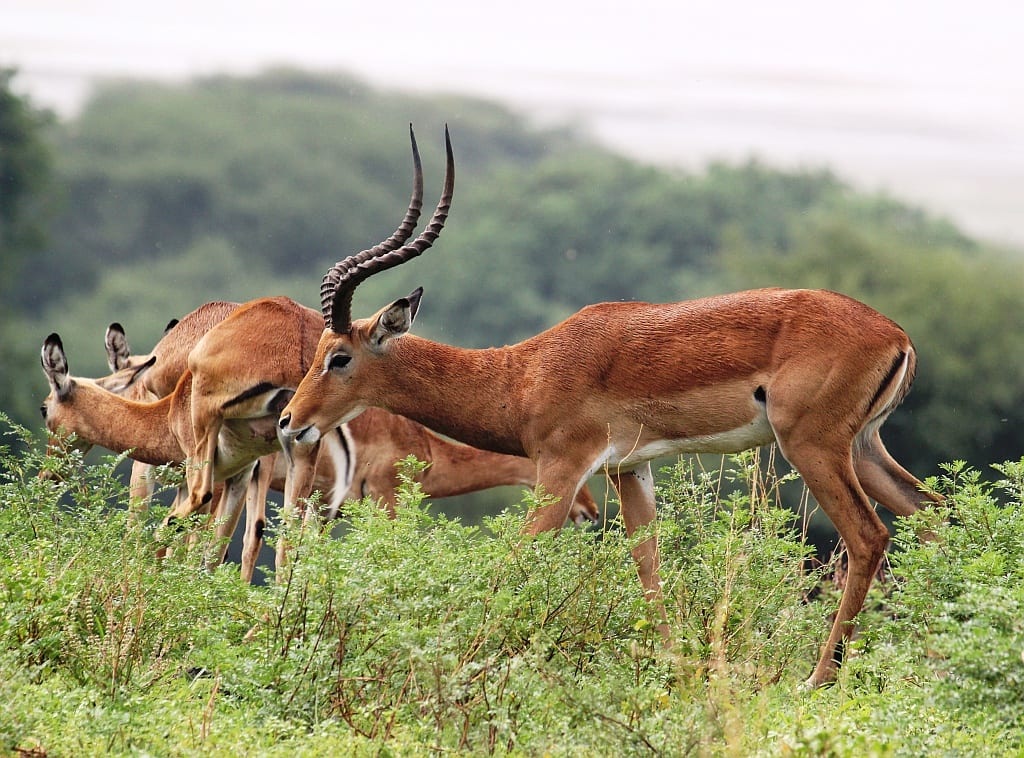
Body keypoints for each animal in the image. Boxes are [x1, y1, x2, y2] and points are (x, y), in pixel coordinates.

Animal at [277, 131, 942, 689]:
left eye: (338, 356)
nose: (290, 424)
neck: (522, 374)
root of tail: (896, 334)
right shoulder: (629, 469)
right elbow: (649, 568)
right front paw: (673, 671)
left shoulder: (562, 470)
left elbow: (512, 562)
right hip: (863, 446)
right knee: (933, 515)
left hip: (811, 445)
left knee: (869, 535)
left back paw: (818, 678)